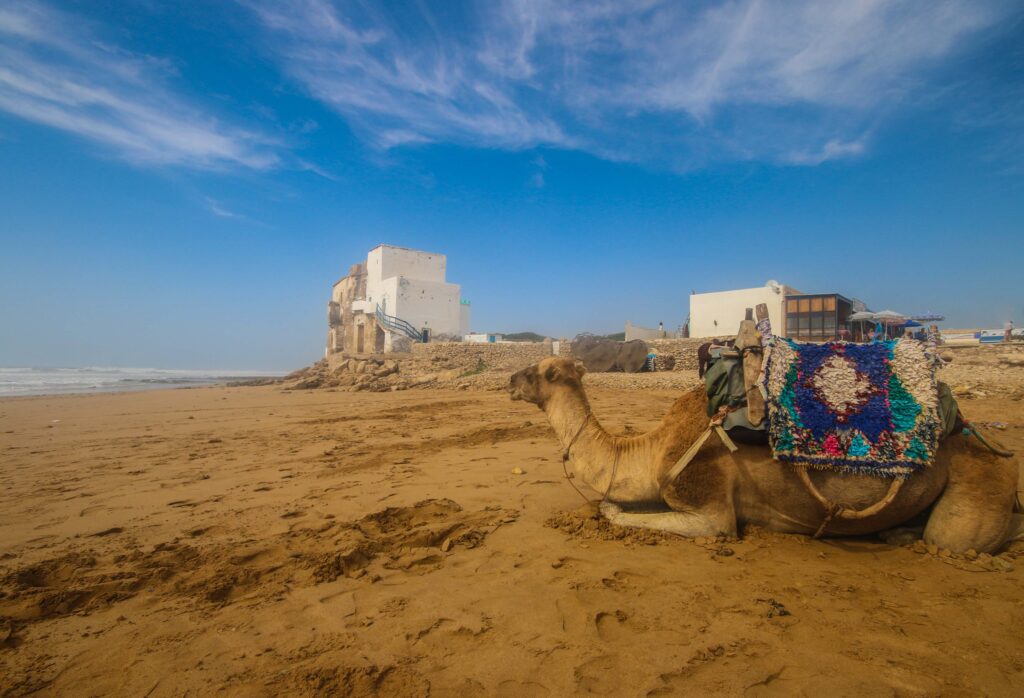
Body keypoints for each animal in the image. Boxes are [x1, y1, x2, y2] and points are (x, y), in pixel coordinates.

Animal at [509, 357, 1023, 553]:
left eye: (544, 372)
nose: (511, 380)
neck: (651, 453)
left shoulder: (709, 507)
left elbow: (614, 511)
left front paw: (610, 509)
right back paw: (896, 532)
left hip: (978, 481)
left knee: (956, 538)